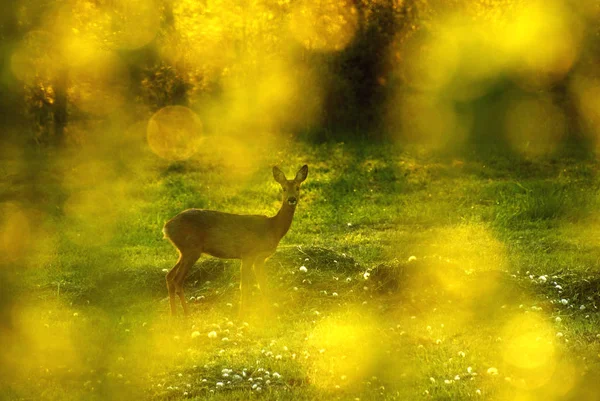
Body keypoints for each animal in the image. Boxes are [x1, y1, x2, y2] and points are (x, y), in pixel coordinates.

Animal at [162, 164, 308, 314]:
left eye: (298, 187)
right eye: (284, 188)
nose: (291, 199)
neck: (273, 228)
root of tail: (166, 228)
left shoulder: (260, 258)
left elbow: (263, 284)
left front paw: (267, 311)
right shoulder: (248, 254)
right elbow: (245, 287)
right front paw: (243, 314)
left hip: (184, 251)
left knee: (169, 276)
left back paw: (174, 315)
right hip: (191, 249)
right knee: (177, 280)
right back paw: (186, 314)